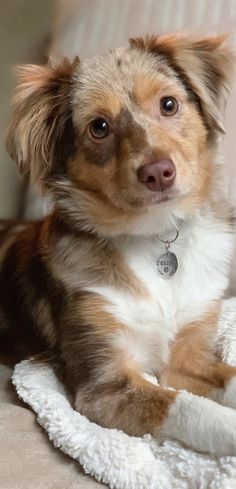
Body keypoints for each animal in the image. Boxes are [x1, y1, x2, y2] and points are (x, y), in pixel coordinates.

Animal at [0, 34, 236, 454]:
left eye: (169, 104)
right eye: (99, 127)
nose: (158, 173)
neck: (153, 236)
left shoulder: (190, 354)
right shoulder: (104, 385)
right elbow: (191, 408)